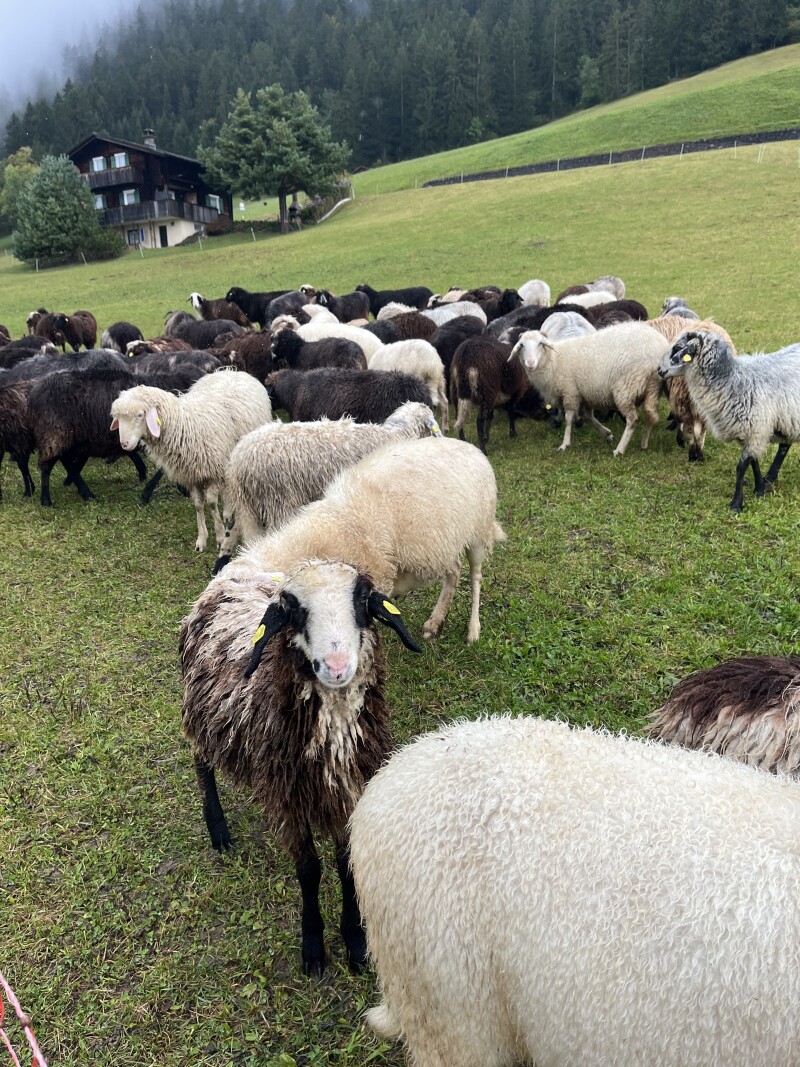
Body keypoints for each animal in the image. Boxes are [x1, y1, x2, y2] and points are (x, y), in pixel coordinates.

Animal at [111, 370, 272, 551]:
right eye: (118, 419)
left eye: (140, 415)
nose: (124, 444)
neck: (185, 426)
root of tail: (232, 370)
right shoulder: (191, 475)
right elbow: (198, 505)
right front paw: (201, 539)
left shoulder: (215, 472)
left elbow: (211, 503)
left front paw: (220, 536)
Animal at [180, 558, 422, 976]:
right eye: (293, 608)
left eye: (363, 598)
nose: (336, 666)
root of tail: (236, 565)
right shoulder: (288, 799)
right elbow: (309, 871)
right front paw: (313, 947)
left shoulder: (351, 790)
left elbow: (346, 865)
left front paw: (356, 943)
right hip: (200, 713)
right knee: (202, 764)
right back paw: (218, 829)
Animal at [511, 322, 670, 455]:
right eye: (522, 345)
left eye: (540, 344)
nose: (530, 363)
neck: (553, 361)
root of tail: (659, 348)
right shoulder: (584, 394)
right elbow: (588, 416)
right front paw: (607, 434)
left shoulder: (570, 392)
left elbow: (568, 418)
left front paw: (565, 444)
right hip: (653, 387)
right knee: (650, 415)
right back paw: (644, 444)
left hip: (626, 387)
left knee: (632, 419)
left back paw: (620, 449)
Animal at [658, 330, 800, 511]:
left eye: (677, 348)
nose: (659, 370)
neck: (731, 380)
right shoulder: (750, 432)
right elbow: (754, 461)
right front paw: (760, 488)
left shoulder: (756, 430)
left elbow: (741, 467)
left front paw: (737, 503)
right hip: (788, 419)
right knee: (784, 445)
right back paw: (771, 476)